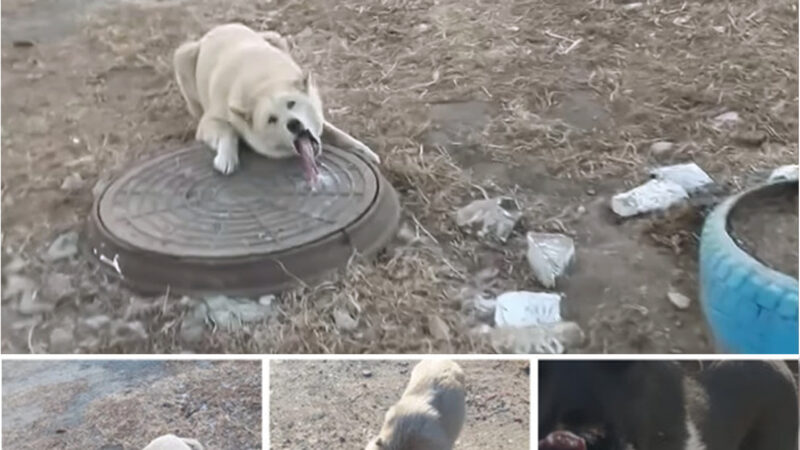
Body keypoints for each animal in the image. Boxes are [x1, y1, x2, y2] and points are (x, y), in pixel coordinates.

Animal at [173, 22, 380, 183]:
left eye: (291, 103)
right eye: (271, 119)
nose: (294, 124)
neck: (263, 83)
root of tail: (218, 28)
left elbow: (334, 131)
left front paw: (363, 150)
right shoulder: (211, 120)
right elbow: (227, 130)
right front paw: (226, 158)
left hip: (275, 37)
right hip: (183, 57)